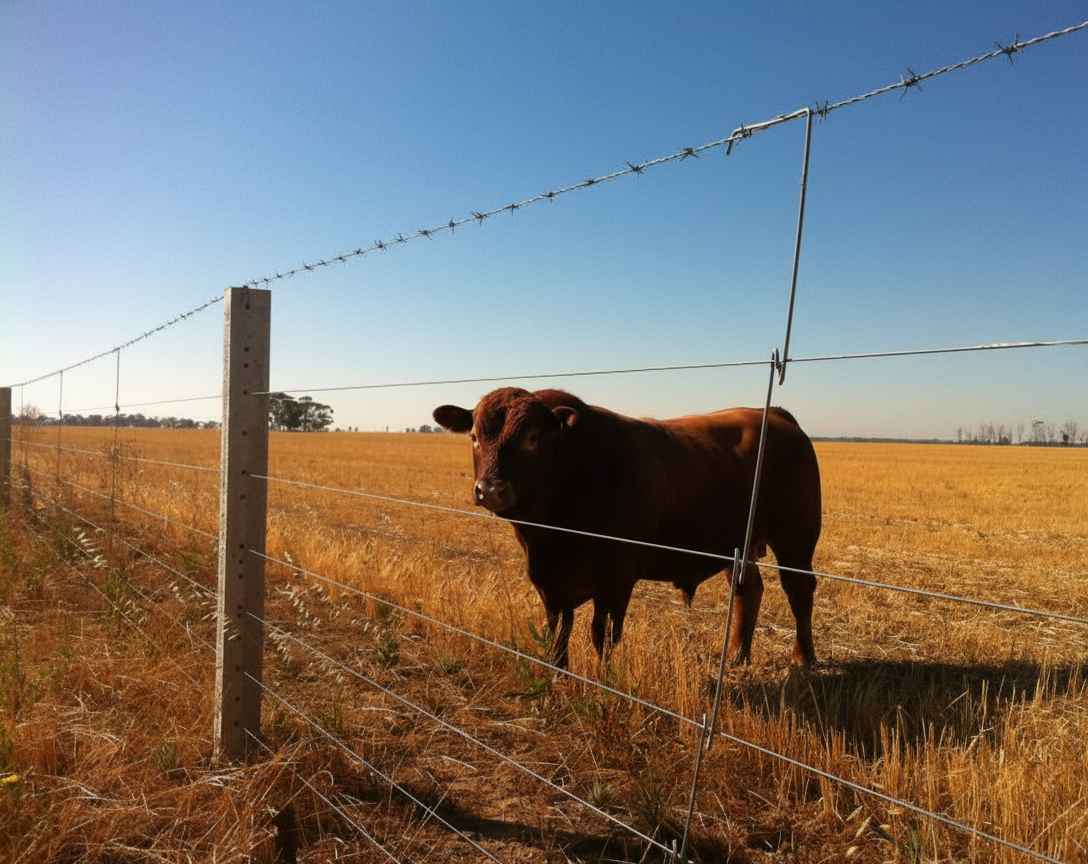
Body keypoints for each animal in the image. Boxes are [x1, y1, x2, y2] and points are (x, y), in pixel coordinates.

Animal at [432, 387, 822, 669]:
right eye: (473, 436)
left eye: (532, 438)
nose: (489, 489)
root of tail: (773, 414)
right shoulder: (550, 582)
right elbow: (558, 631)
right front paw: (558, 673)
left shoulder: (615, 579)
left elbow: (601, 635)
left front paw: (602, 683)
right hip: (737, 546)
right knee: (748, 590)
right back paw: (738, 655)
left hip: (796, 539)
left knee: (799, 591)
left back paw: (803, 658)